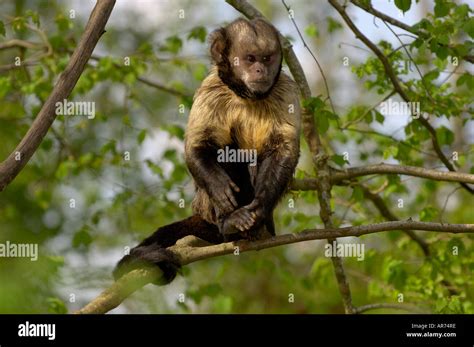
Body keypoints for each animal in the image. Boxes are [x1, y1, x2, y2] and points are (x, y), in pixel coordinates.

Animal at [113, 18, 300, 286]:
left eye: (267, 59)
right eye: (250, 58)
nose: (260, 71)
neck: (247, 96)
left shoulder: (286, 90)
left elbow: (283, 150)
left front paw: (259, 208)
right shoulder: (211, 88)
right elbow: (197, 146)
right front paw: (219, 186)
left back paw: (257, 226)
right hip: (205, 206)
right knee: (225, 148)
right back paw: (230, 222)